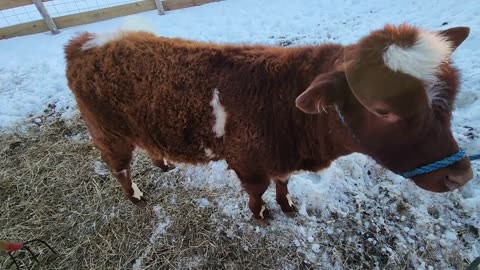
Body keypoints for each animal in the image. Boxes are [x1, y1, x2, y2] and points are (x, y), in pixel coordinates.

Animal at [63, 24, 472, 225]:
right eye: (382, 108)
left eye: (452, 93)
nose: (461, 176)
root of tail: (84, 40)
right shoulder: (248, 161)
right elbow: (257, 191)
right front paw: (260, 215)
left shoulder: (280, 158)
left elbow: (283, 181)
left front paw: (288, 204)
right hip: (107, 131)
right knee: (119, 167)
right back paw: (135, 195)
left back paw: (164, 162)